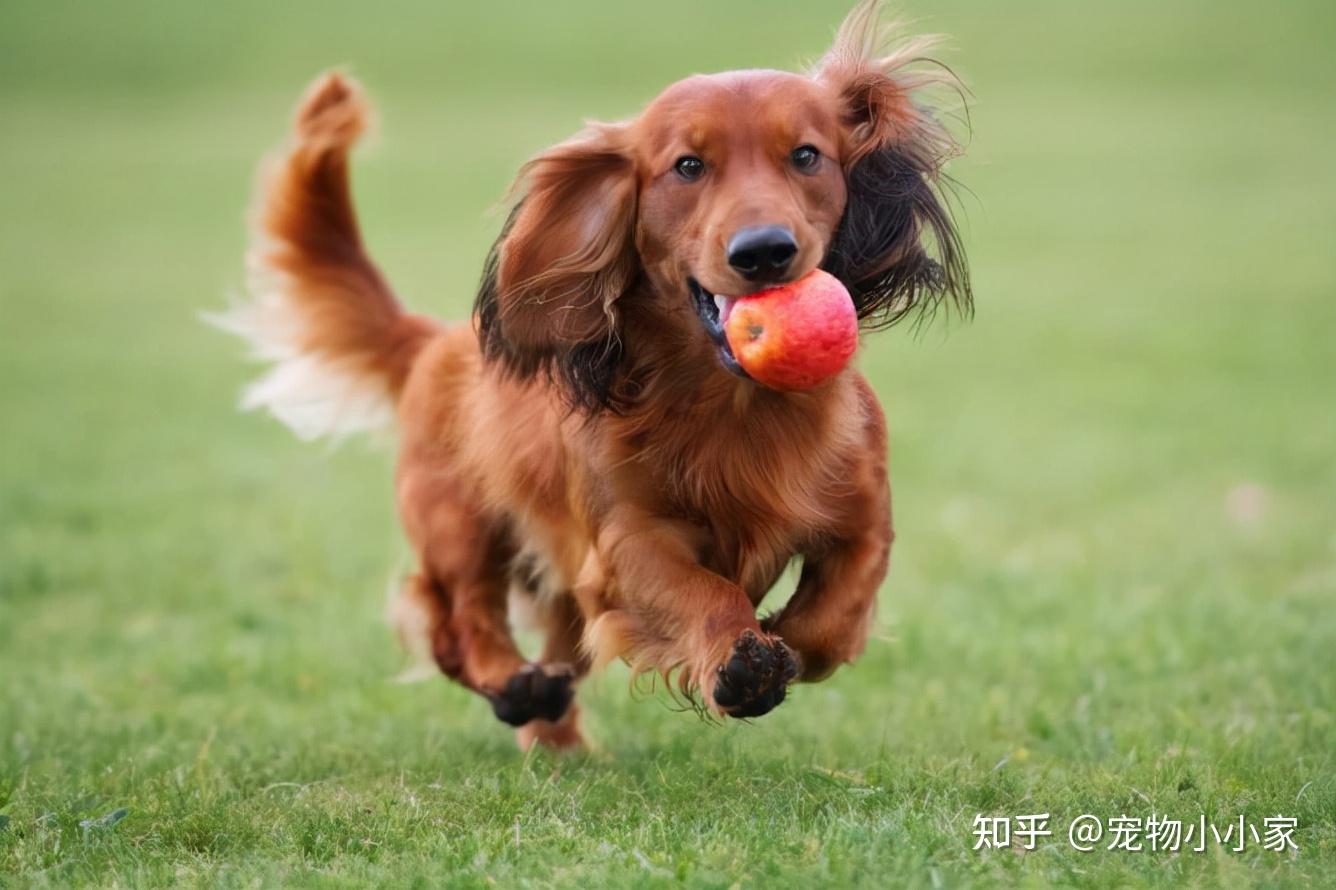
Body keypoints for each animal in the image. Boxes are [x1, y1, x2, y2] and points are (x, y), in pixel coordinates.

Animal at [216, 1, 972, 748]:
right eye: (688, 166)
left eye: (808, 155)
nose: (763, 252)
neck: (736, 407)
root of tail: (432, 340)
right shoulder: (625, 542)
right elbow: (703, 591)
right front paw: (739, 659)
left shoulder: (865, 518)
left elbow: (833, 620)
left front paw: (780, 639)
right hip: (459, 522)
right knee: (457, 620)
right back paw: (512, 684)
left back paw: (555, 735)